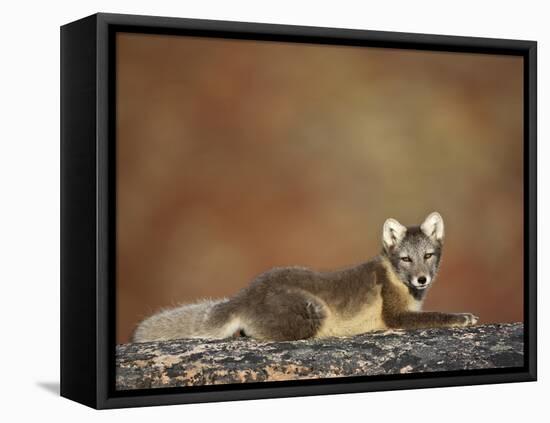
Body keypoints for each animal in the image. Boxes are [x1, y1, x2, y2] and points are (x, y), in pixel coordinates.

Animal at [134, 214, 478, 342]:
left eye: (428, 256)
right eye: (406, 259)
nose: (421, 280)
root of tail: (244, 294)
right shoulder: (395, 316)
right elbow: (437, 316)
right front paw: (463, 317)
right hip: (315, 310)